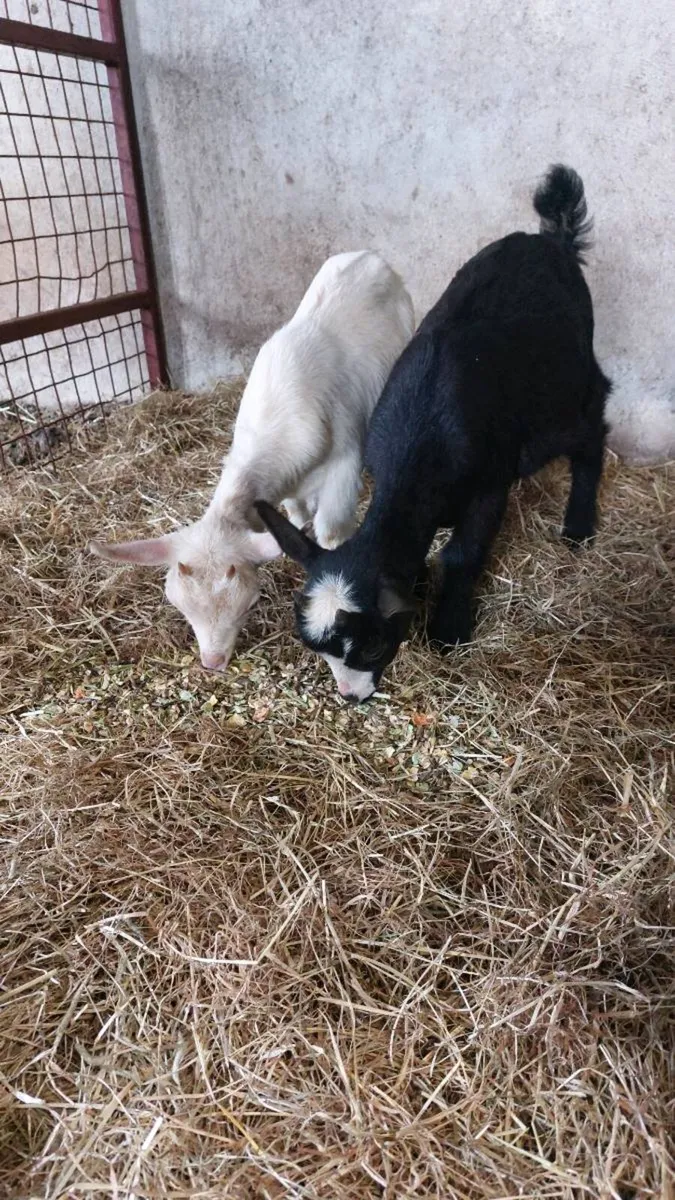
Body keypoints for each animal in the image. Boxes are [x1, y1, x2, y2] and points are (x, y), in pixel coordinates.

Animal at [90, 251, 414, 670]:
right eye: (181, 607)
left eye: (249, 604)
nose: (213, 662)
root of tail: (367, 256)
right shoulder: (289, 484)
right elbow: (295, 516)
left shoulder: (343, 470)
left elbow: (330, 533)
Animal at [257, 165, 611, 703]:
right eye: (318, 650)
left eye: (373, 645)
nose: (351, 697)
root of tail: (551, 238)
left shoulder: (489, 486)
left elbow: (462, 555)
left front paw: (449, 628)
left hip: (566, 392)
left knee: (593, 427)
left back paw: (578, 527)